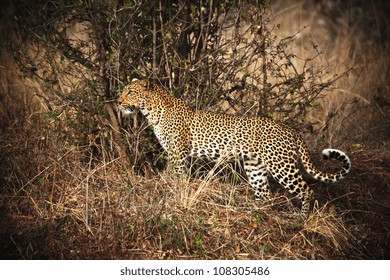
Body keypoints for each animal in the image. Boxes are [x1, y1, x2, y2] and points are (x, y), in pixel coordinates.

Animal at [118, 79, 350, 214]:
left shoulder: (177, 154)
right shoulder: (177, 155)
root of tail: (292, 130)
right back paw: (255, 211)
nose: (119, 103)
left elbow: (174, 177)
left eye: (130, 92)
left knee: (306, 190)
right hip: (255, 166)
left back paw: (302, 218)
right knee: (264, 193)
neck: (152, 111)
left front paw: (168, 195)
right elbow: (178, 178)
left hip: (281, 166)